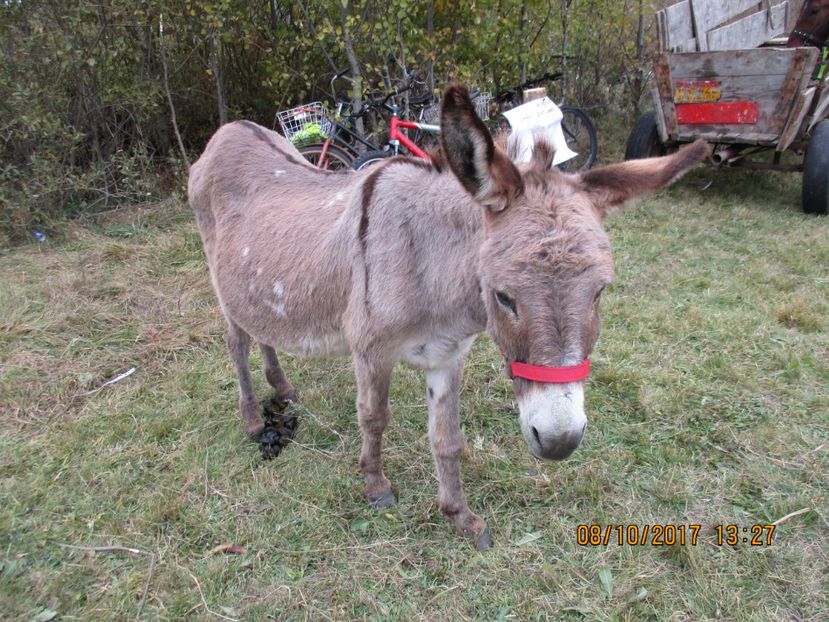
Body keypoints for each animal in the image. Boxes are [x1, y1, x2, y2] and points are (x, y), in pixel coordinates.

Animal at [189, 85, 712, 548]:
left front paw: (459, 515)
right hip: (220, 282)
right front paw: (376, 486)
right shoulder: (370, 350)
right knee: (237, 344)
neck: (430, 264)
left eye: (601, 291)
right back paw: (253, 419)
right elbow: (373, 418)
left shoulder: (447, 356)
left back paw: (282, 387)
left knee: (263, 329)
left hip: (257, 283)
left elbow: (447, 439)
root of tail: (229, 131)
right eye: (504, 297)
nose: (559, 441)